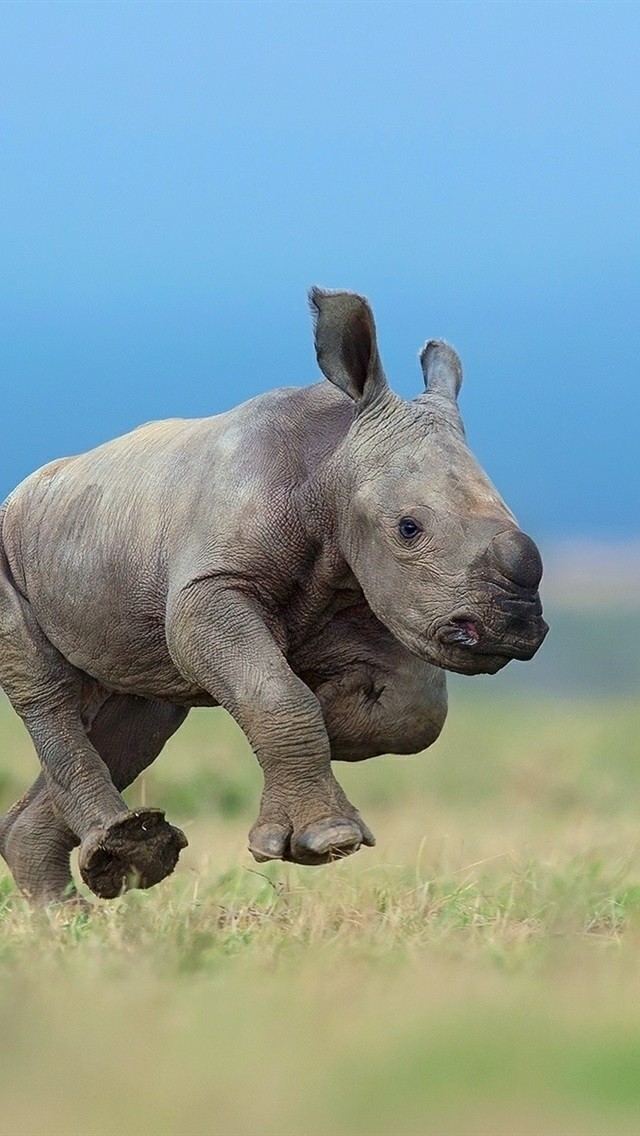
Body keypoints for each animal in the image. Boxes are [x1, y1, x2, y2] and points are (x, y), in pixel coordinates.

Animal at [0, 289, 547, 903]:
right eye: (409, 528)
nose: (514, 626)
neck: (330, 469)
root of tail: (26, 488)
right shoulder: (210, 586)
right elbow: (277, 691)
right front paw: (325, 840)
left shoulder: (372, 595)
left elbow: (417, 710)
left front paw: (332, 708)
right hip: (10, 544)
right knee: (48, 691)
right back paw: (118, 859)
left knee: (139, 714)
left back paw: (74, 908)